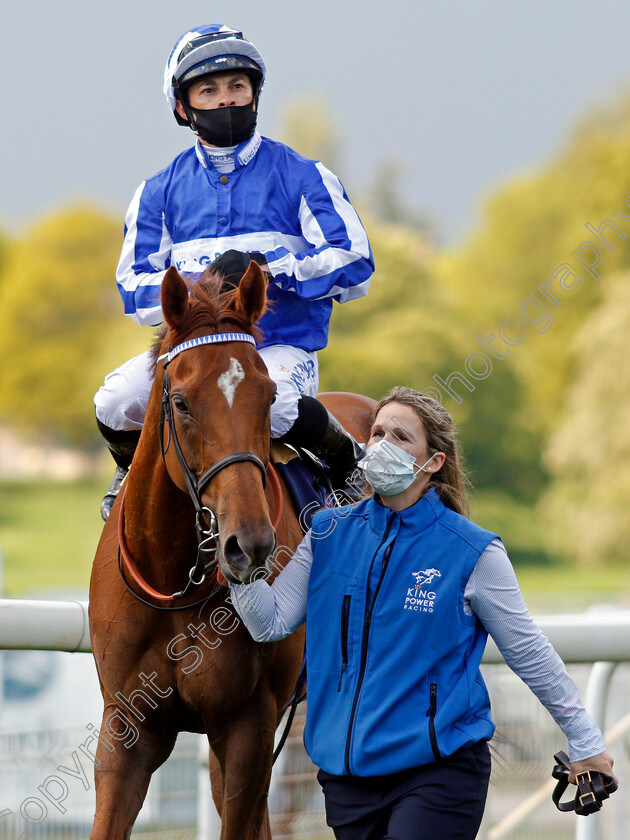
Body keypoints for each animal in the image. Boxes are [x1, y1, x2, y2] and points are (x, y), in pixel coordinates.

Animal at [88, 264, 376, 840]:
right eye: (180, 402)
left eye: (266, 398)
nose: (250, 543)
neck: (174, 581)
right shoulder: (127, 728)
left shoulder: (247, 727)